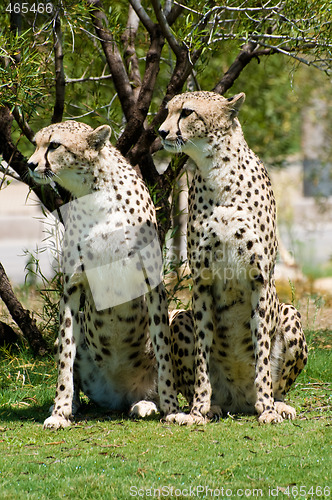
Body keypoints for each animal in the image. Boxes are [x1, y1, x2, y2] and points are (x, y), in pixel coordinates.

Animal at [28, 121, 182, 430]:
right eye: (36, 143)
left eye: (54, 145)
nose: (29, 164)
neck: (94, 195)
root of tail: (119, 396)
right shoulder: (71, 288)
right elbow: (65, 355)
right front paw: (60, 411)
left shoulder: (152, 284)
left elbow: (163, 347)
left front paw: (172, 407)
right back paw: (72, 405)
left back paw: (148, 404)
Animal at [160, 92, 308, 424]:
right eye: (167, 111)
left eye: (187, 112)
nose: (161, 132)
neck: (218, 172)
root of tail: (239, 401)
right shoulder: (201, 283)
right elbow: (202, 357)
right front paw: (198, 410)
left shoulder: (260, 280)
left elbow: (262, 352)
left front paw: (267, 409)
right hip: (180, 318)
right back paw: (212, 406)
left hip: (290, 312)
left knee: (279, 382)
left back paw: (277, 404)